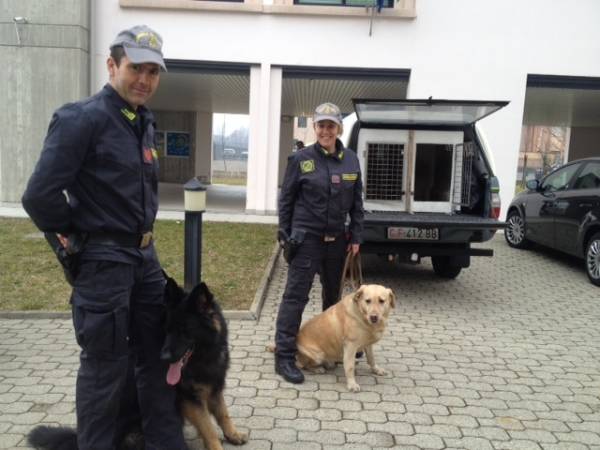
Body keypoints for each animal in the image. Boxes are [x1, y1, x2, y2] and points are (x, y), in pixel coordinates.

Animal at [27, 276, 248, 448]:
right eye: (166, 330)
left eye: (184, 331)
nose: (163, 357)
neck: (204, 355)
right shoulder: (190, 399)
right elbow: (208, 428)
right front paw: (216, 445)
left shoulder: (214, 387)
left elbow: (223, 413)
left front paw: (233, 434)